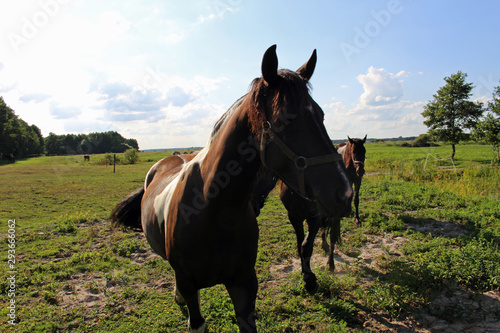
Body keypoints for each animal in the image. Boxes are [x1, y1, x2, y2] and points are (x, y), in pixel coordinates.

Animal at [109, 44, 352, 332]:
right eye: (284, 120)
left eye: (321, 114)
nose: (344, 193)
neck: (211, 209)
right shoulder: (190, 285)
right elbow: (195, 316)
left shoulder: (244, 284)